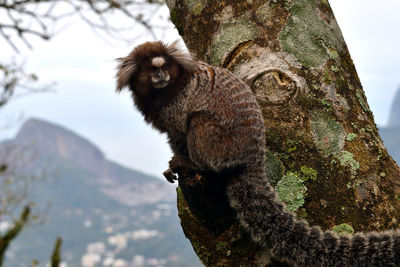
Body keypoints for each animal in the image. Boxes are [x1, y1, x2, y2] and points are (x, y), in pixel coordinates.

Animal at [115, 40, 400, 267]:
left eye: (164, 67)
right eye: (152, 69)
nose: (161, 76)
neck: (164, 91)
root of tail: (253, 156)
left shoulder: (178, 105)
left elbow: (180, 134)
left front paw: (180, 162)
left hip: (221, 143)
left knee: (199, 122)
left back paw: (197, 165)